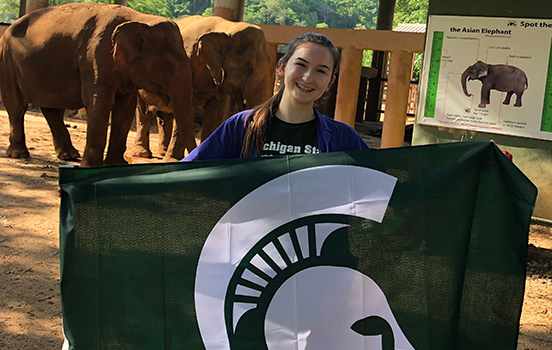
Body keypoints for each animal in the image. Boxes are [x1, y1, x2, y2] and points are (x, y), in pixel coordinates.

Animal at [0, 2, 195, 167]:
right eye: (168, 65)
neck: (140, 19)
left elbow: (125, 108)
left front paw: (117, 165)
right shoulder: (94, 56)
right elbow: (99, 102)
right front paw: (91, 167)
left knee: (52, 108)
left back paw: (70, 155)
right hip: (7, 60)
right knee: (16, 106)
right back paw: (18, 154)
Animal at [133, 14, 272, 160]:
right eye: (247, 65)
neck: (226, 27)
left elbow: (214, 115)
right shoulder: (187, 67)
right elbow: (189, 111)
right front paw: (174, 159)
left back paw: (163, 152)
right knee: (144, 112)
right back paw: (142, 154)